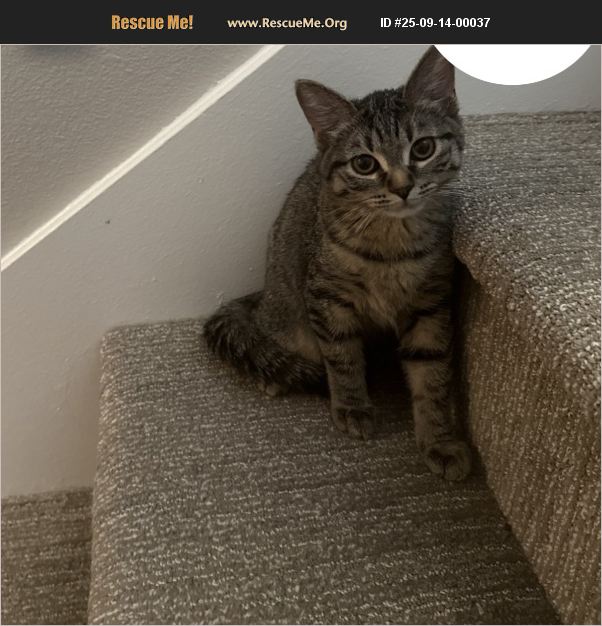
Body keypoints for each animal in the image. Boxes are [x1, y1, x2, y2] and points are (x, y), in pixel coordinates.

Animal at [204, 46, 471, 481]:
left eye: (423, 148)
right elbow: (343, 358)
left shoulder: (432, 304)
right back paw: (273, 373)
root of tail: (264, 294)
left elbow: (432, 373)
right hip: (290, 313)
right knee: (268, 335)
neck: (392, 247)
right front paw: (352, 407)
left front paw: (440, 439)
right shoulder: (327, 298)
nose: (402, 187)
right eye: (364, 164)